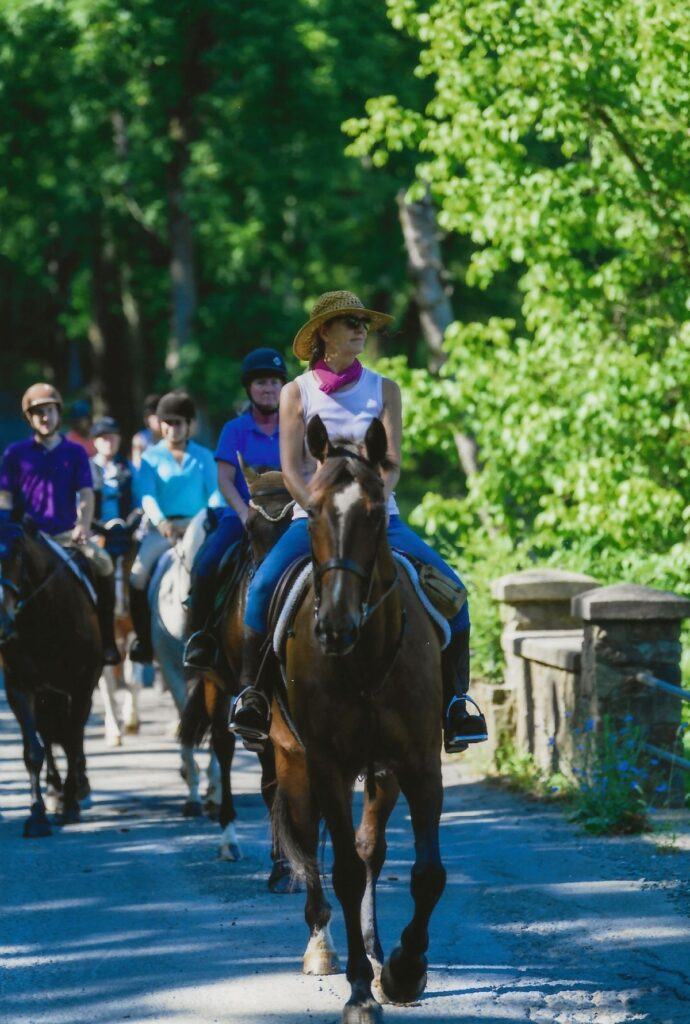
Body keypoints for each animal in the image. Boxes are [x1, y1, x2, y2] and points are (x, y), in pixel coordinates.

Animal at [0, 516, 103, 835]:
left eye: (16, 554)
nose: (1, 623)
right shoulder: (19, 687)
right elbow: (33, 752)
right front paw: (37, 815)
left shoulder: (80, 685)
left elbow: (70, 741)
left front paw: (70, 806)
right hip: (47, 695)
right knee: (48, 736)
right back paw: (55, 790)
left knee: (72, 736)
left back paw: (75, 790)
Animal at [177, 466, 292, 888]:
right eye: (252, 529)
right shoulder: (254, 700)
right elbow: (271, 779)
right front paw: (282, 866)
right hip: (215, 683)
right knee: (223, 750)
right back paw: (228, 838)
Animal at [268, 415, 446, 1024]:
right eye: (314, 509)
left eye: (373, 513)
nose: (335, 626)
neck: (365, 658)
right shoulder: (327, 766)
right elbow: (342, 870)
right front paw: (361, 991)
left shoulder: (419, 764)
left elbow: (426, 873)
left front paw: (403, 970)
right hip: (292, 762)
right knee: (307, 846)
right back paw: (322, 949)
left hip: (382, 773)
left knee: (371, 849)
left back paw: (372, 949)